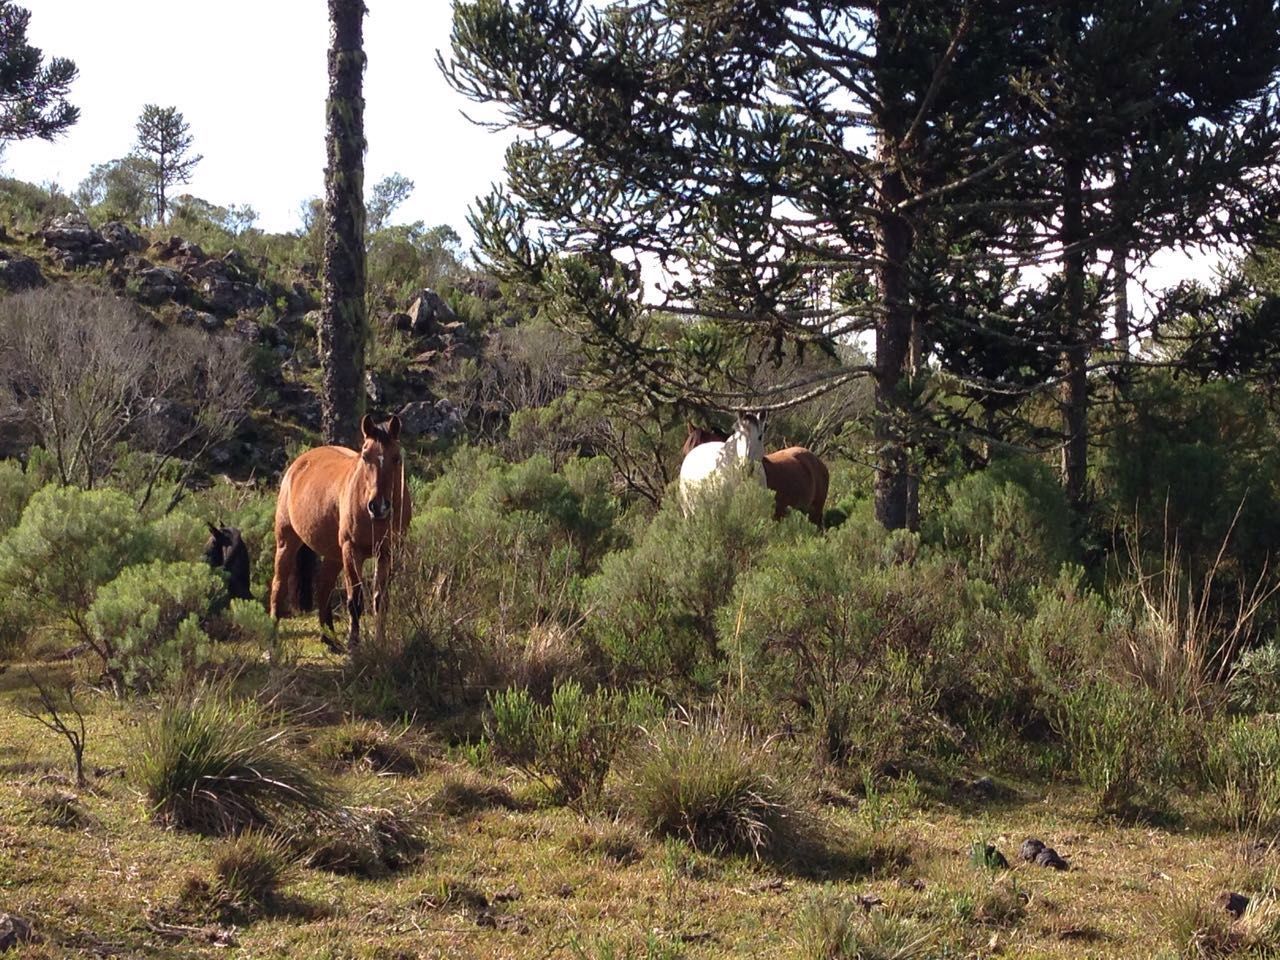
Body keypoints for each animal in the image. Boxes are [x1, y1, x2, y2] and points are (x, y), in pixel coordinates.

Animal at [270, 414, 409, 650]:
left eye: (396, 458)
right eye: (365, 456)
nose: (379, 506)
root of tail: (298, 464)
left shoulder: (387, 552)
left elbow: (380, 600)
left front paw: (380, 643)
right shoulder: (352, 551)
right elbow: (356, 600)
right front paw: (354, 643)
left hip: (334, 555)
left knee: (323, 587)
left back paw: (330, 639)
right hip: (287, 542)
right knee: (278, 588)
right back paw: (272, 646)